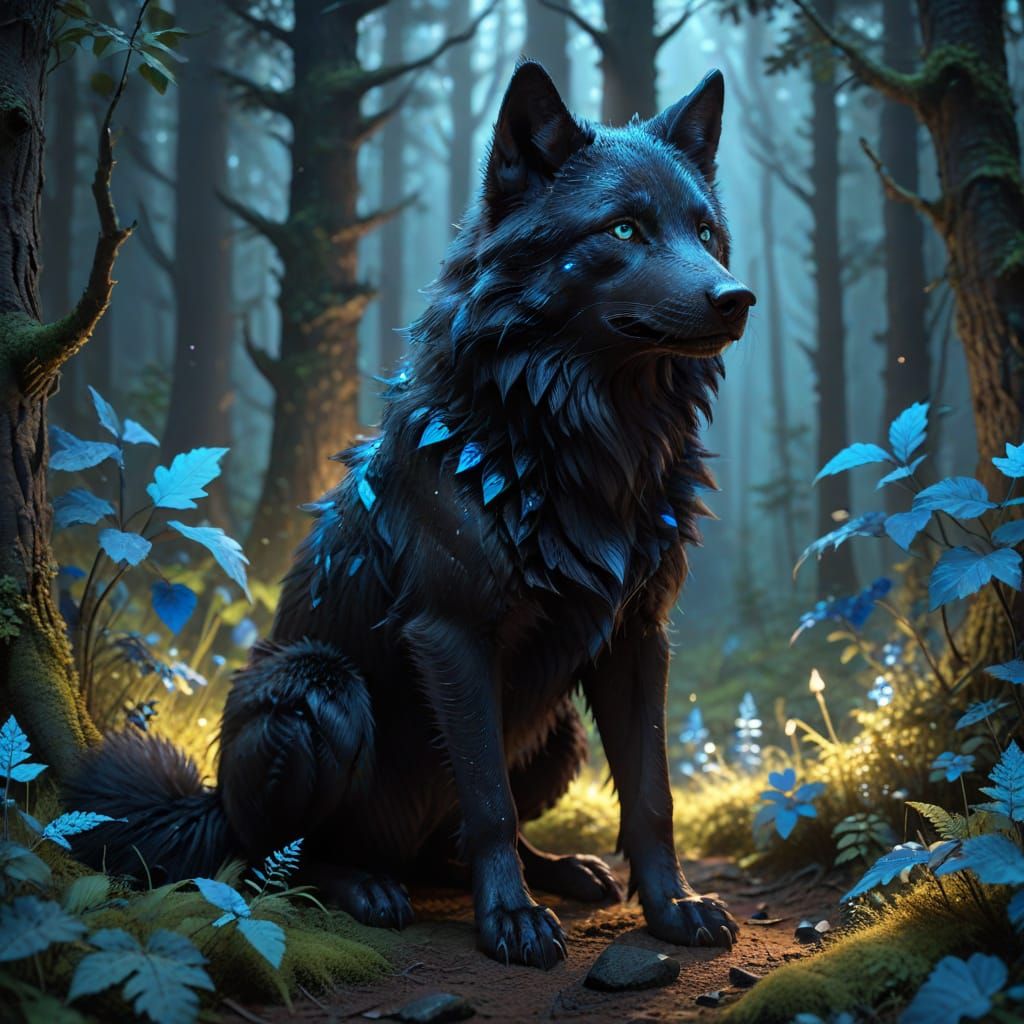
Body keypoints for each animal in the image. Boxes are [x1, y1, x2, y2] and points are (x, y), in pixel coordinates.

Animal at [67, 62, 755, 969]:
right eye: (625, 228)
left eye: (706, 233)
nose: (737, 298)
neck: (590, 445)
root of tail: (210, 806)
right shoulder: (451, 634)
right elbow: (489, 801)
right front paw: (510, 922)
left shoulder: (639, 637)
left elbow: (650, 794)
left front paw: (672, 907)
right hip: (314, 690)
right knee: (283, 856)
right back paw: (367, 887)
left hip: (556, 733)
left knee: (449, 842)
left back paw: (560, 871)